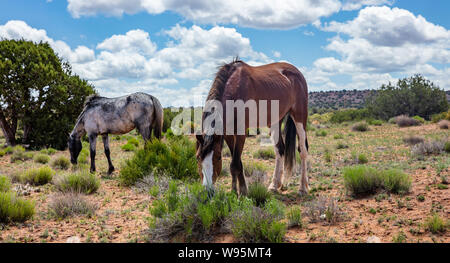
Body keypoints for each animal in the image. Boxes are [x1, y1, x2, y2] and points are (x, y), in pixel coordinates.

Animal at [197, 59, 310, 196]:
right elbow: (237, 163)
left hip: (299, 117)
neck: (234, 89)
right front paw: (238, 190)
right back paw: (274, 185)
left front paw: (239, 192)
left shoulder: (241, 133)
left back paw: (302, 187)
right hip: (275, 121)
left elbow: (235, 164)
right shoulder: (228, 134)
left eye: (218, 157)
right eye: (198, 157)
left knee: (303, 150)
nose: (207, 191)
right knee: (280, 150)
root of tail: (297, 73)